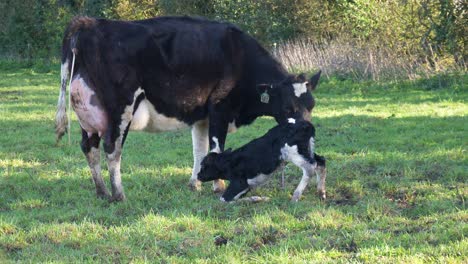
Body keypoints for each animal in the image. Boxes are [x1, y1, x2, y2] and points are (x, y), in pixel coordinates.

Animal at [197, 119, 326, 202]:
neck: (228, 163)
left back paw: (296, 196)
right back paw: (321, 193)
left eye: (203, 165)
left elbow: (224, 199)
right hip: (307, 150)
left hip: (293, 153)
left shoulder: (240, 182)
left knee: (310, 168)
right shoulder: (246, 186)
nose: (198, 176)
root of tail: (304, 123)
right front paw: (258, 198)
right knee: (321, 162)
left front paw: (257, 199)